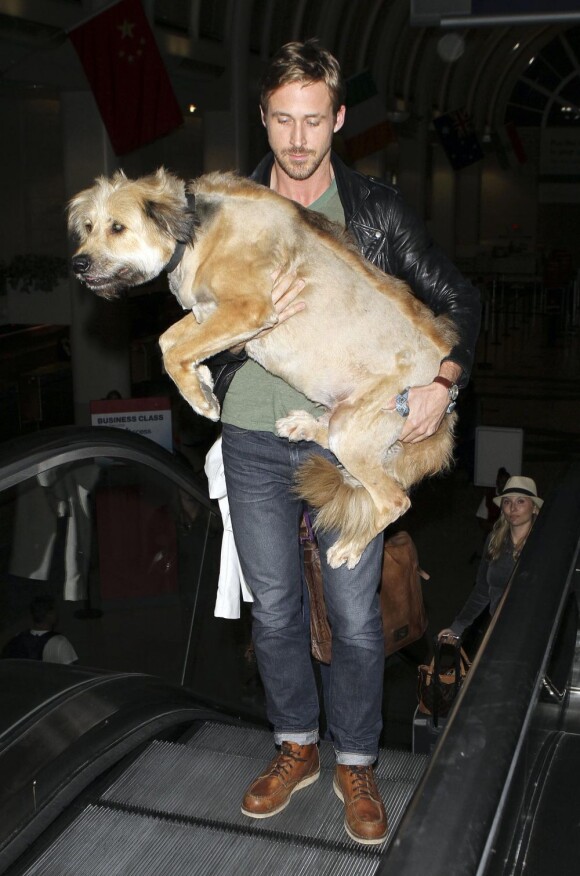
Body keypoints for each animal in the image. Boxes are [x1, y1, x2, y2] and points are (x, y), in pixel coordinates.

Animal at [69, 169, 458, 568]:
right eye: (88, 227)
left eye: (117, 227)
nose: (77, 264)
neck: (196, 233)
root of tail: (444, 423)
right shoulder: (208, 312)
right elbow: (167, 342)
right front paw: (203, 380)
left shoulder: (247, 309)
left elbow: (174, 353)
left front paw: (201, 400)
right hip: (346, 422)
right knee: (333, 438)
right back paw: (302, 425)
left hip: (356, 430)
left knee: (394, 500)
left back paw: (349, 547)